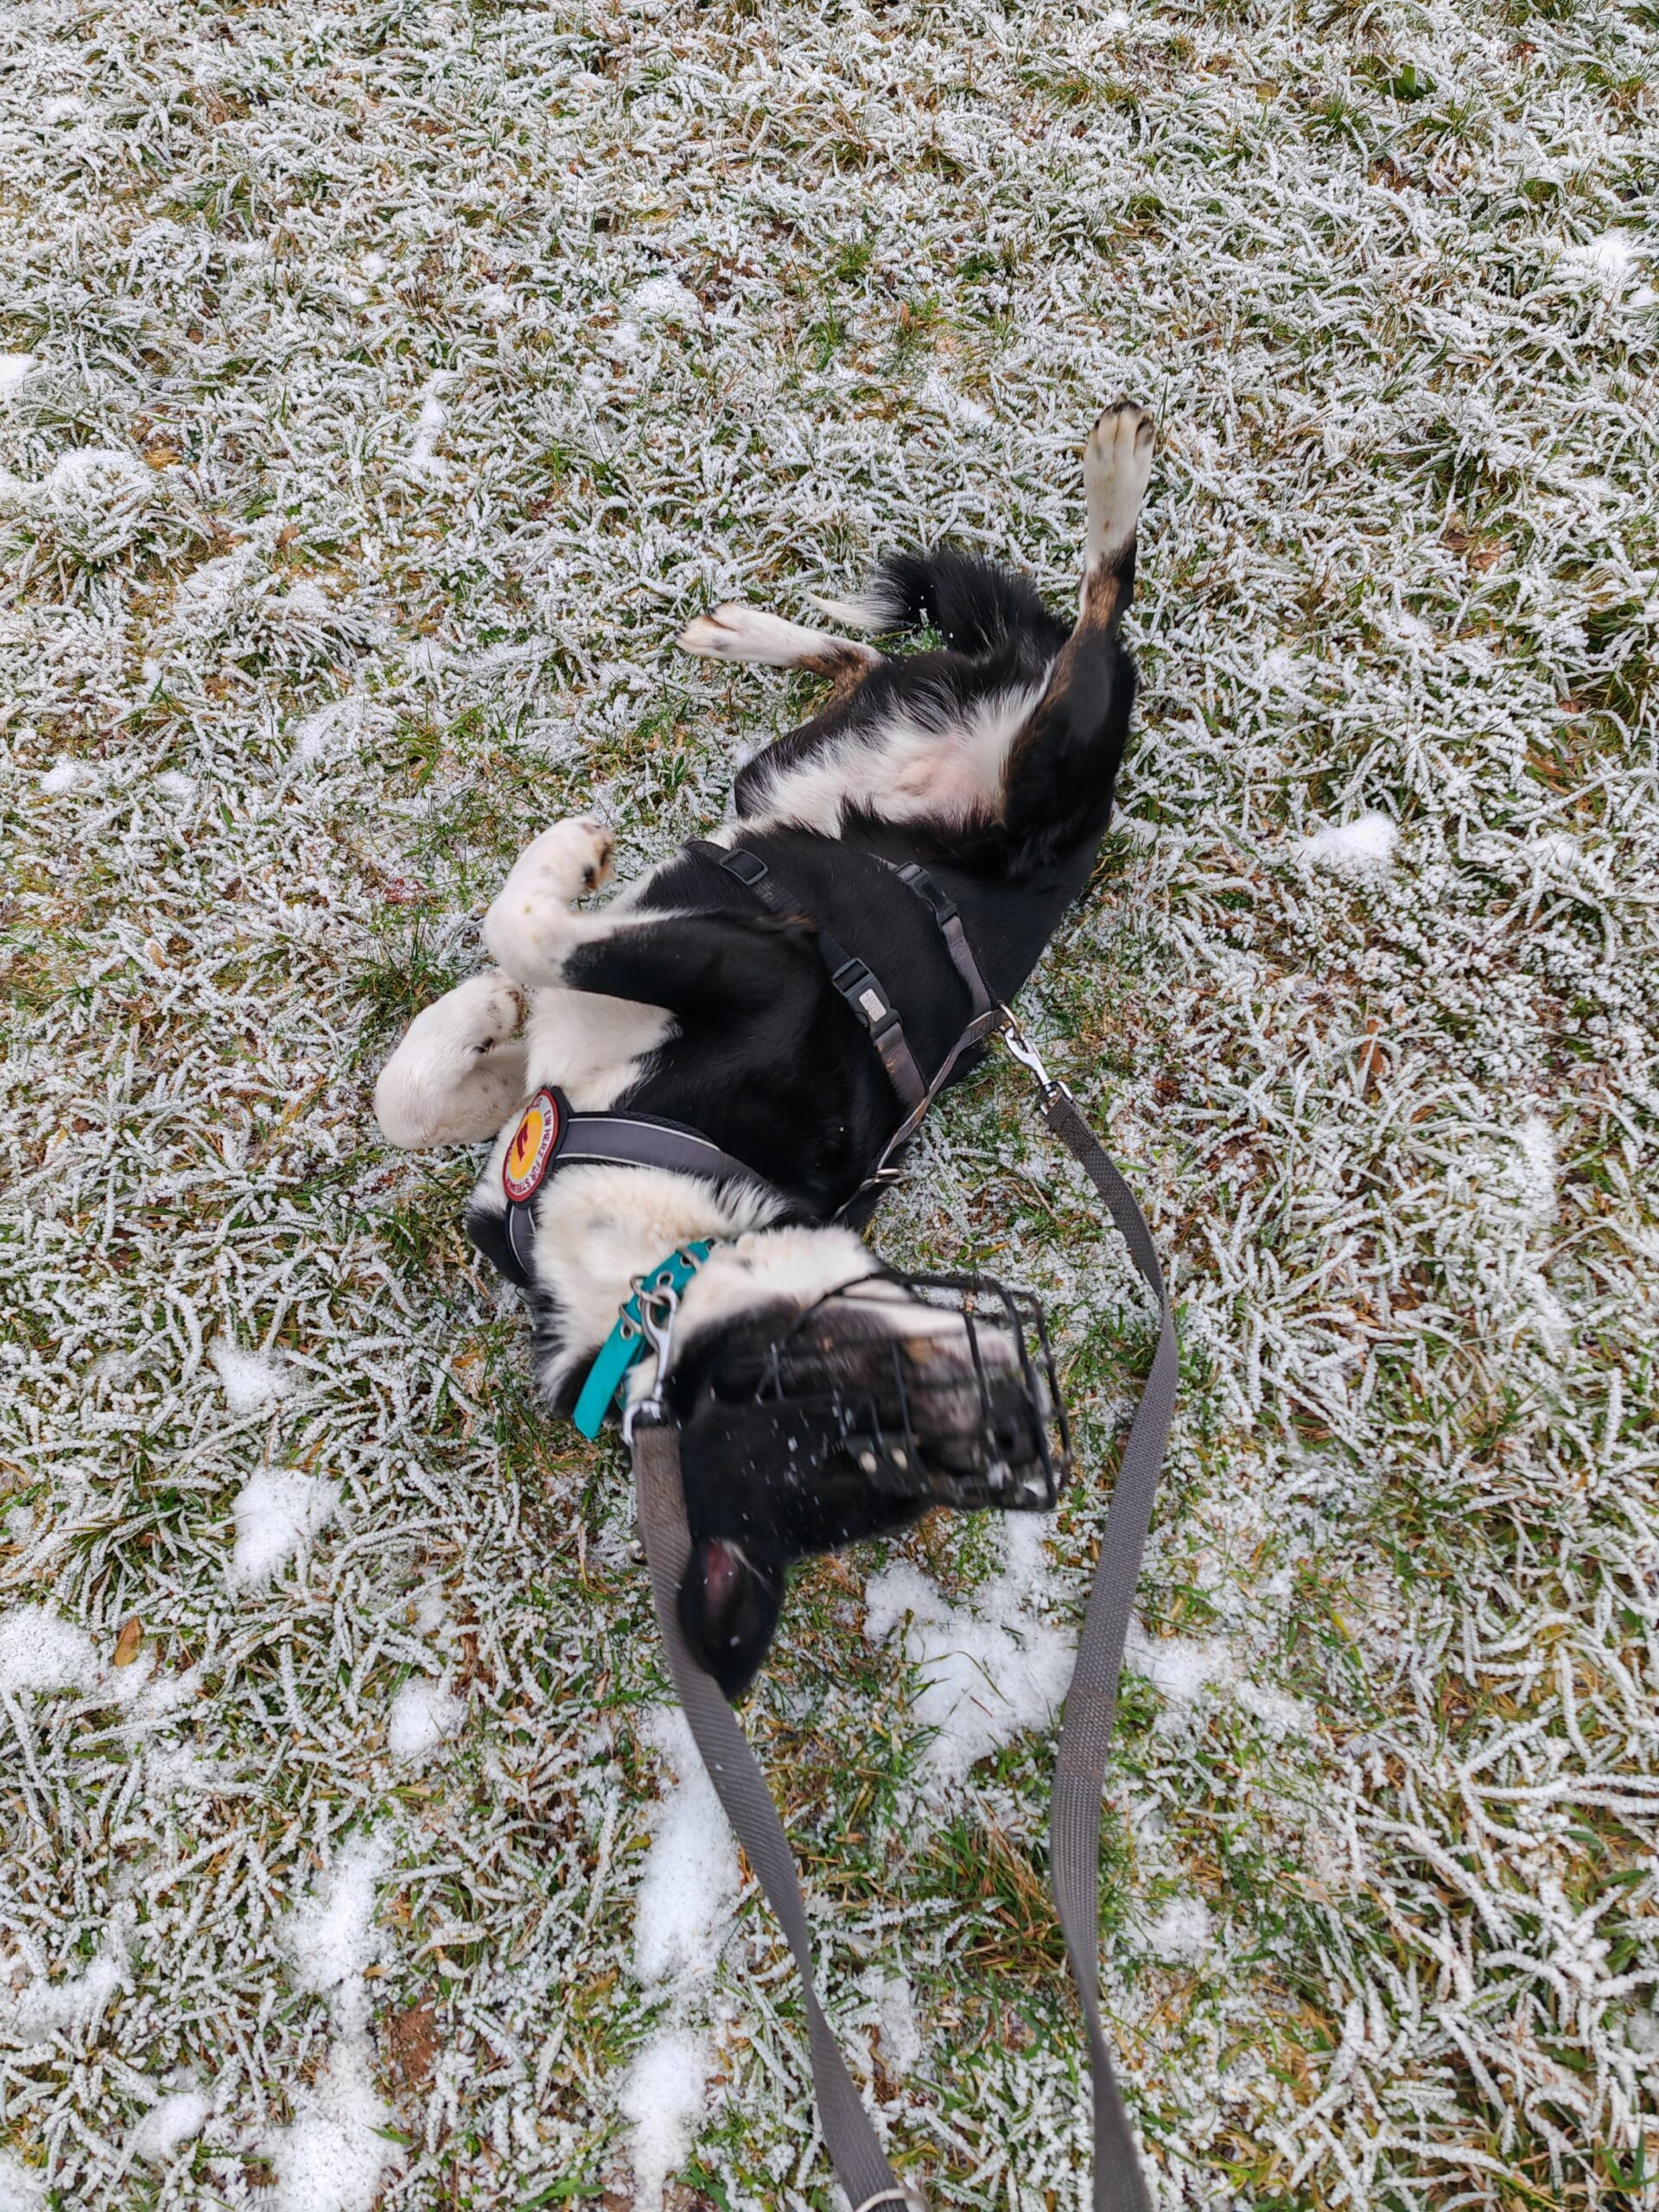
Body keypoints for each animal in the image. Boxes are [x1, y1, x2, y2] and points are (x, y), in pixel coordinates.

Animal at [373, 402, 1154, 1693]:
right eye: (860, 1403)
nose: (1017, 1415)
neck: (646, 1267)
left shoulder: (768, 970)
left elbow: (530, 929)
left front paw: (557, 870)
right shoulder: (553, 1093)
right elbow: (422, 1085)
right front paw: (481, 1007)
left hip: (1050, 762)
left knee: (1102, 612)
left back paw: (1116, 475)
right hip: (819, 760)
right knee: (886, 662)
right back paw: (744, 631)